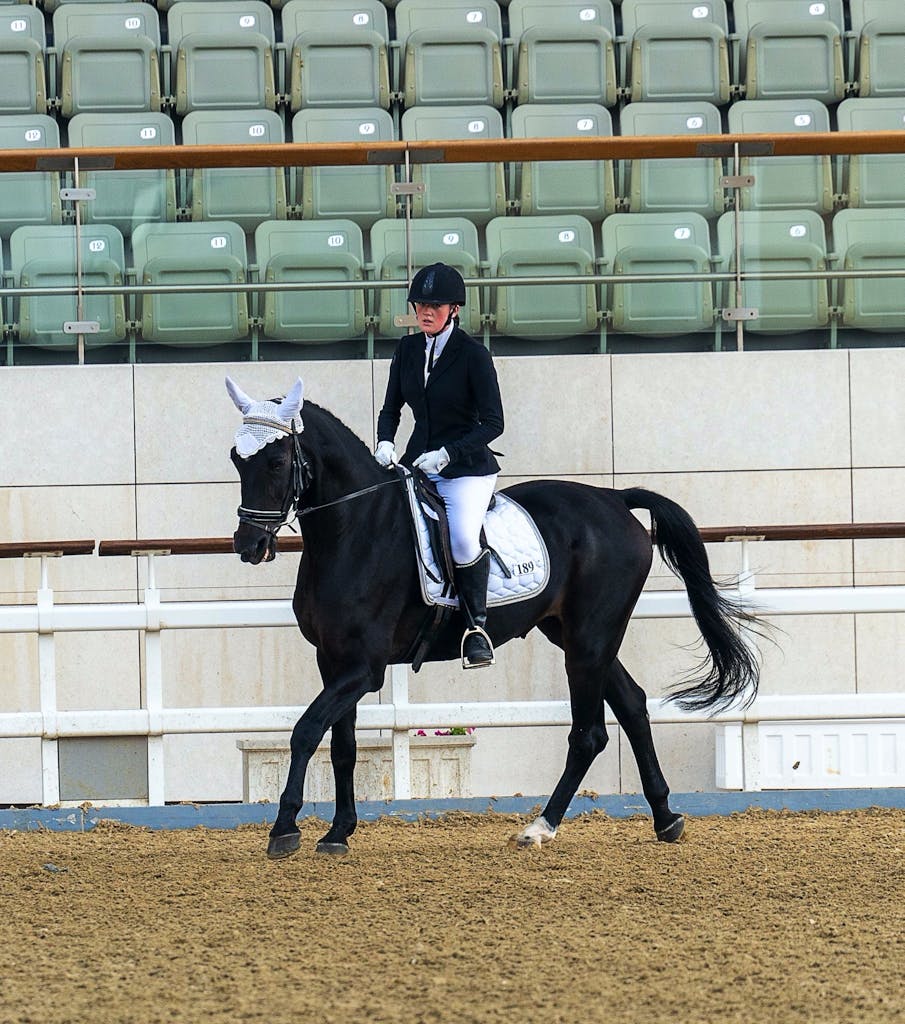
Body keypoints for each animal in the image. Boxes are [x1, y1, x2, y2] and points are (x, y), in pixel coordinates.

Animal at [226, 380, 757, 860]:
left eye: (277, 462)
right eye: (236, 458)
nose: (249, 545)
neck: (355, 530)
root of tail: (613, 498)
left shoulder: (363, 668)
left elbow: (306, 731)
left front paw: (285, 829)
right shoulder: (333, 660)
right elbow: (341, 746)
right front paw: (338, 832)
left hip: (591, 638)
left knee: (589, 734)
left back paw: (540, 828)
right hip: (573, 634)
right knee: (631, 704)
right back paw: (666, 818)